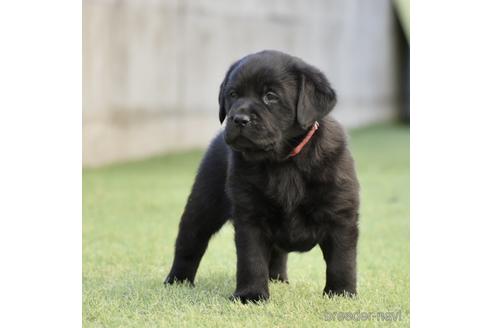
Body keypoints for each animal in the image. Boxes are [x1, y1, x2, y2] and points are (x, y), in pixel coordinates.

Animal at [163, 50, 360, 304]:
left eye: (270, 96)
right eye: (233, 94)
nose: (238, 119)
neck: (284, 162)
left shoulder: (340, 215)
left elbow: (341, 261)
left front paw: (341, 293)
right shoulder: (250, 216)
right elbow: (252, 260)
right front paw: (251, 294)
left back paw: (278, 278)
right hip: (203, 204)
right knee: (189, 242)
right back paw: (177, 280)